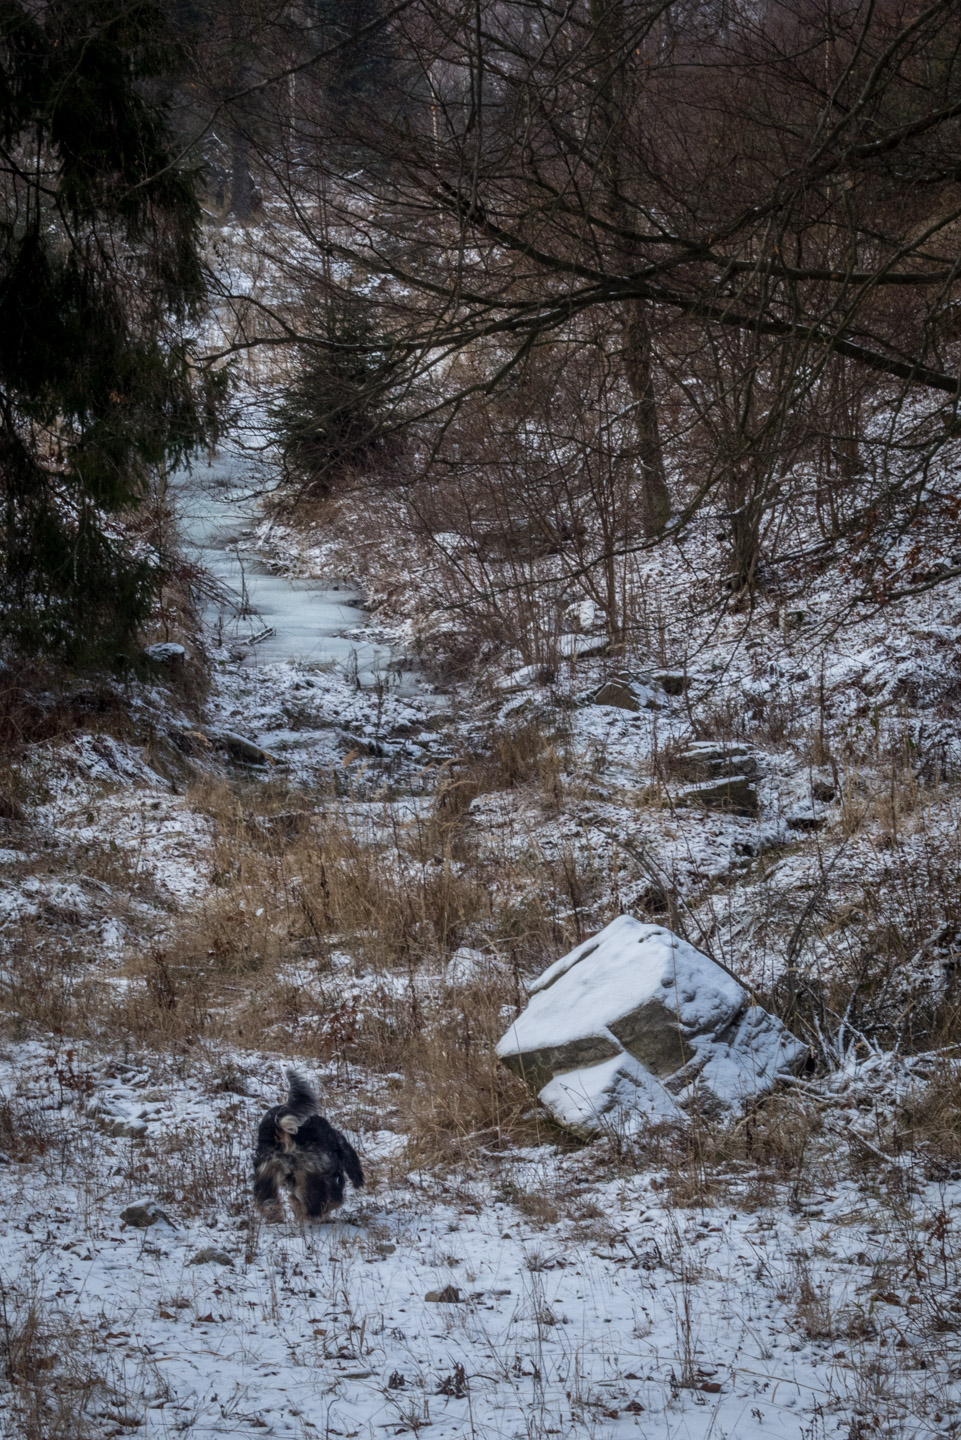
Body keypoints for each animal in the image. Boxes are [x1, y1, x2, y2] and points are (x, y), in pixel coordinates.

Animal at [252, 1077, 364, 1221]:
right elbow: (333, 1200)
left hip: (268, 1165)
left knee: (266, 1196)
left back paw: (273, 1213)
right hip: (310, 1167)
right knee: (315, 1199)